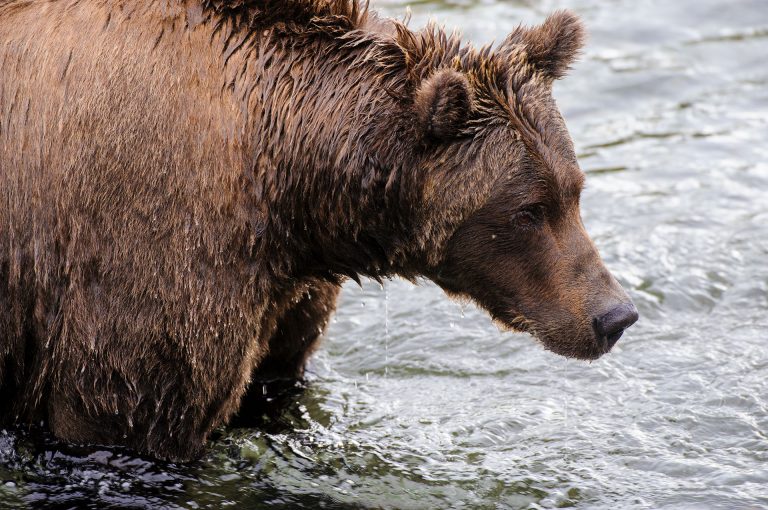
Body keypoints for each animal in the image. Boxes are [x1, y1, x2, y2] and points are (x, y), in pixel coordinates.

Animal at [0, 0, 636, 462]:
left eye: (575, 190)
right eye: (527, 210)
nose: (614, 315)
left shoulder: (287, 291)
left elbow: (276, 382)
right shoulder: (150, 250)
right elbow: (127, 415)